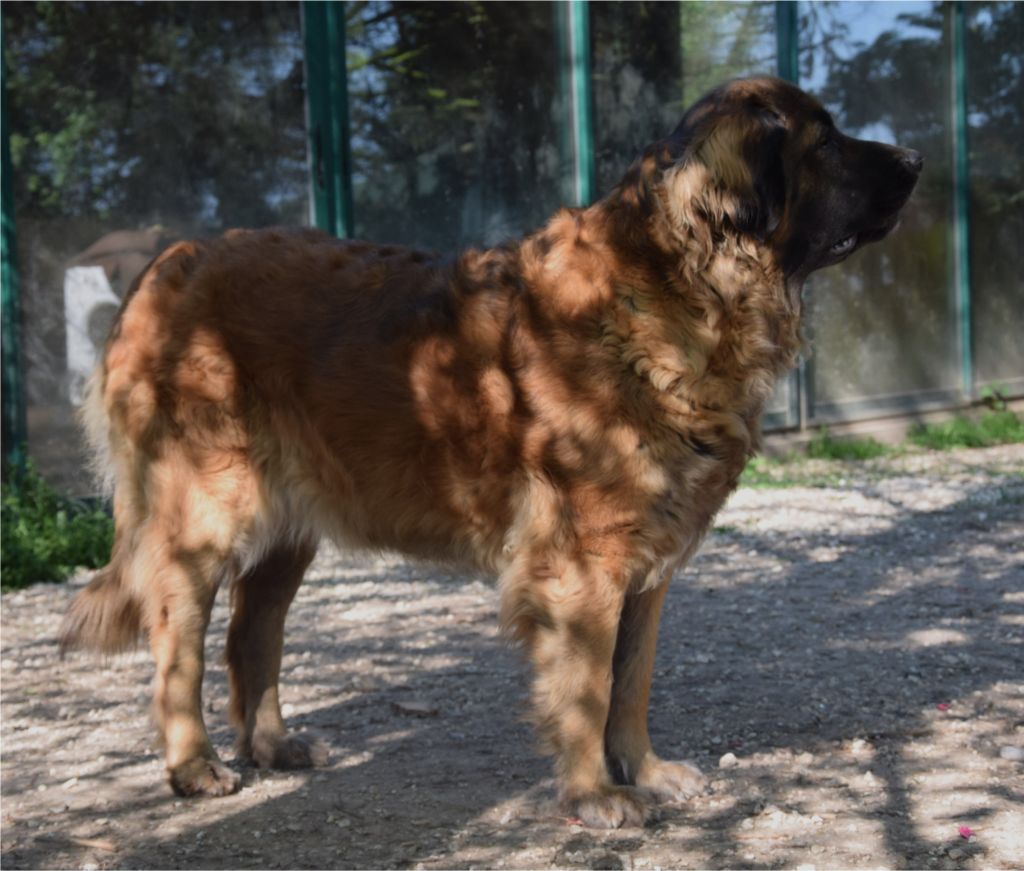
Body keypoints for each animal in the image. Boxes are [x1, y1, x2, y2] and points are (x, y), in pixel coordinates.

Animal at [58, 78, 921, 826]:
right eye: (824, 142)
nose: (915, 161)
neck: (678, 292)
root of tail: (160, 267)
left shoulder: (646, 568)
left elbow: (632, 683)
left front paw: (644, 770)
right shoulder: (584, 565)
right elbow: (587, 686)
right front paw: (593, 794)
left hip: (289, 523)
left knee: (252, 630)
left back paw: (272, 744)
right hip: (205, 511)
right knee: (179, 638)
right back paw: (194, 764)